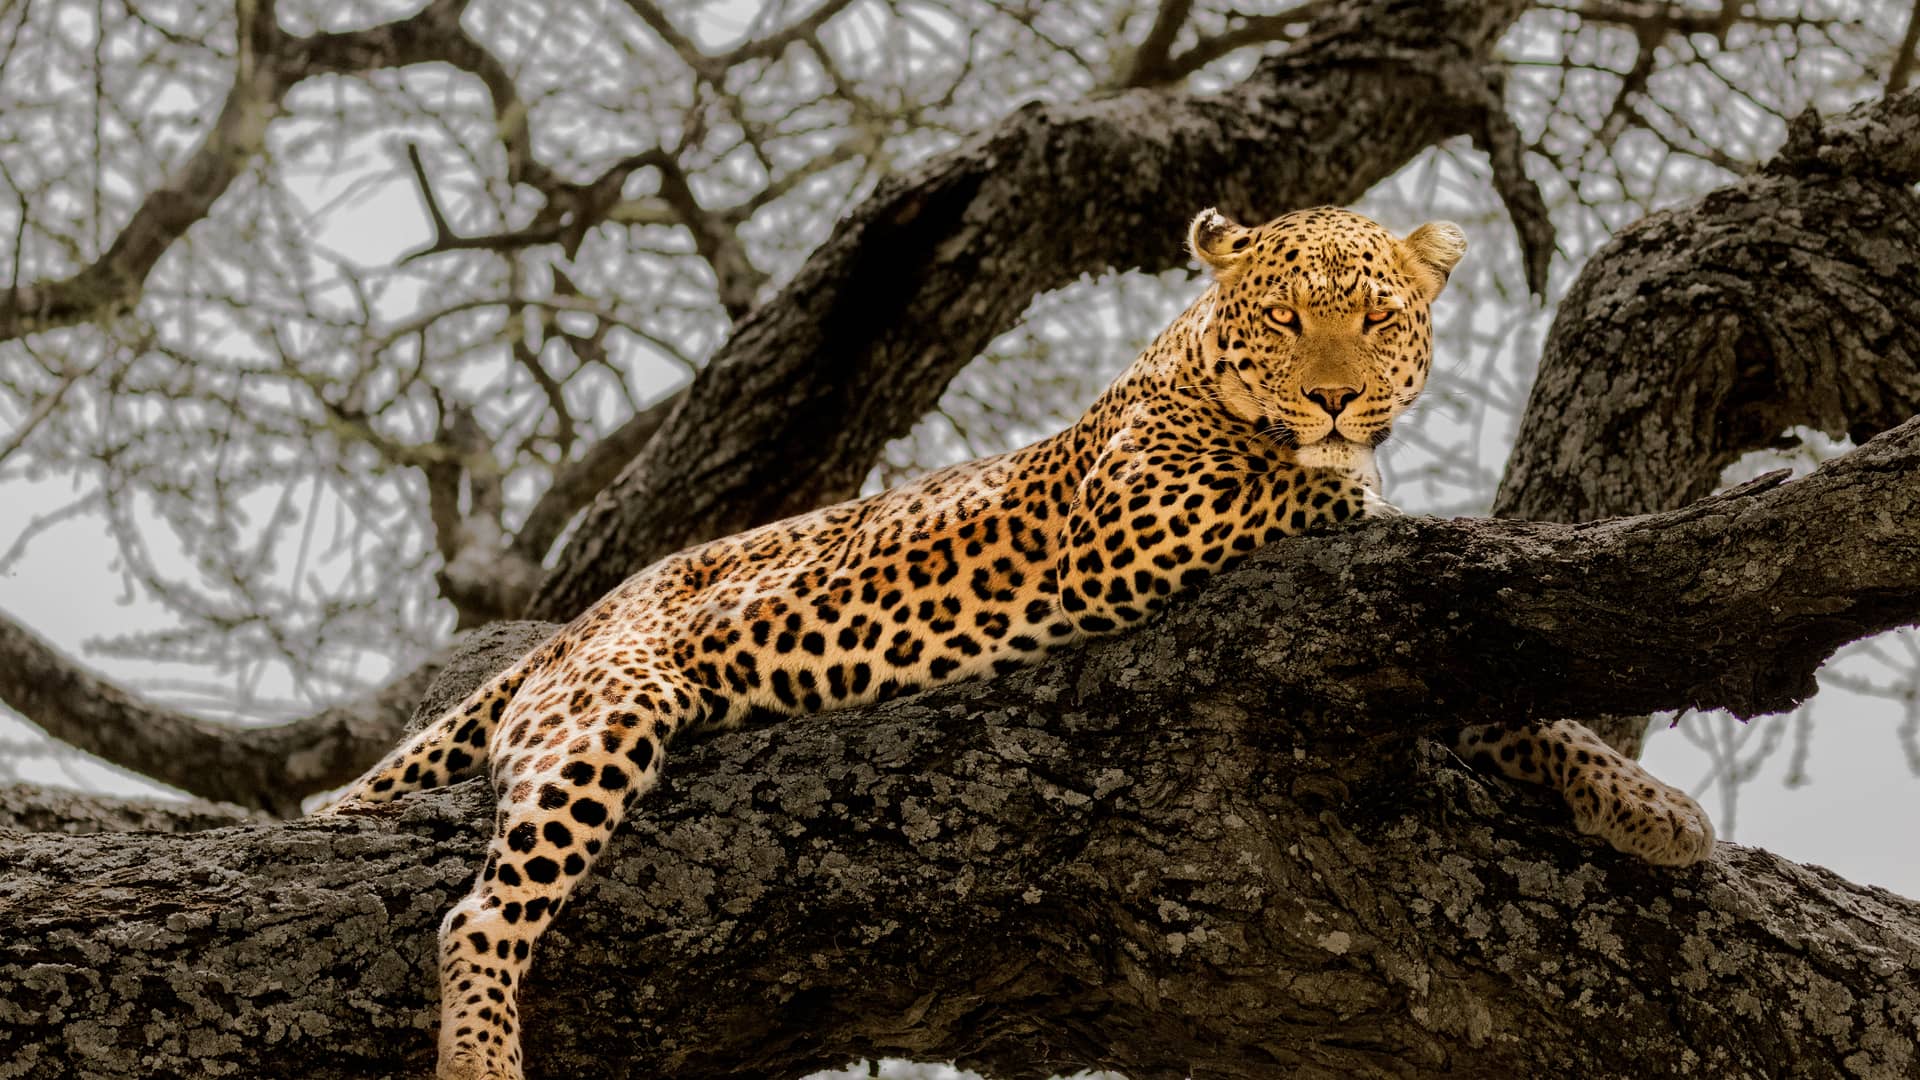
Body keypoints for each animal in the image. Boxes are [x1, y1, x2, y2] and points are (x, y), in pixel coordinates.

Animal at [322, 203, 1720, 1076]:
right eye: (1284, 321)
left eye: (1377, 319)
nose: (1334, 396)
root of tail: (584, 617)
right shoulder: (1150, 525)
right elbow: (1335, 499)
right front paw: (1359, 476)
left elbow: (1508, 696)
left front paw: (1647, 806)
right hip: (606, 711)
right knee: (478, 915)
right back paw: (480, 1054)